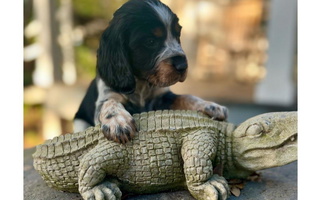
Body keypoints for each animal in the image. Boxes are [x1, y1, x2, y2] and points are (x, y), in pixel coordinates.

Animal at [74, 0, 228, 144]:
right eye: (150, 41)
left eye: (177, 35)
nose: (183, 65)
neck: (141, 83)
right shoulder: (108, 94)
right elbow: (109, 103)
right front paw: (118, 122)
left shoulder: (162, 98)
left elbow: (185, 97)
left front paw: (211, 106)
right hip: (79, 123)